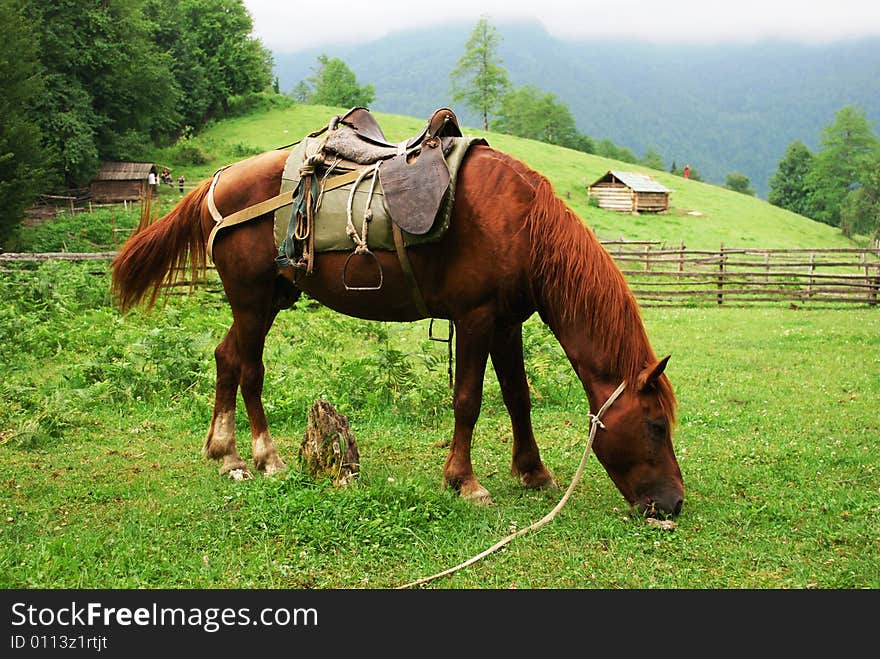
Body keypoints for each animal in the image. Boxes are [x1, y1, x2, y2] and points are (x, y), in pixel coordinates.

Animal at [110, 142, 684, 520]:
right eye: (656, 426)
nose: (674, 503)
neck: (522, 226)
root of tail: (219, 179)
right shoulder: (475, 318)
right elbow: (469, 400)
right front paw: (464, 481)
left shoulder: (505, 323)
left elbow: (517, 397)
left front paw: (533, 472)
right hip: (252, 302)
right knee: (250, 368)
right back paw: (263, 456)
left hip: (267, 300)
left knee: (226, 357)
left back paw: (224, 452)